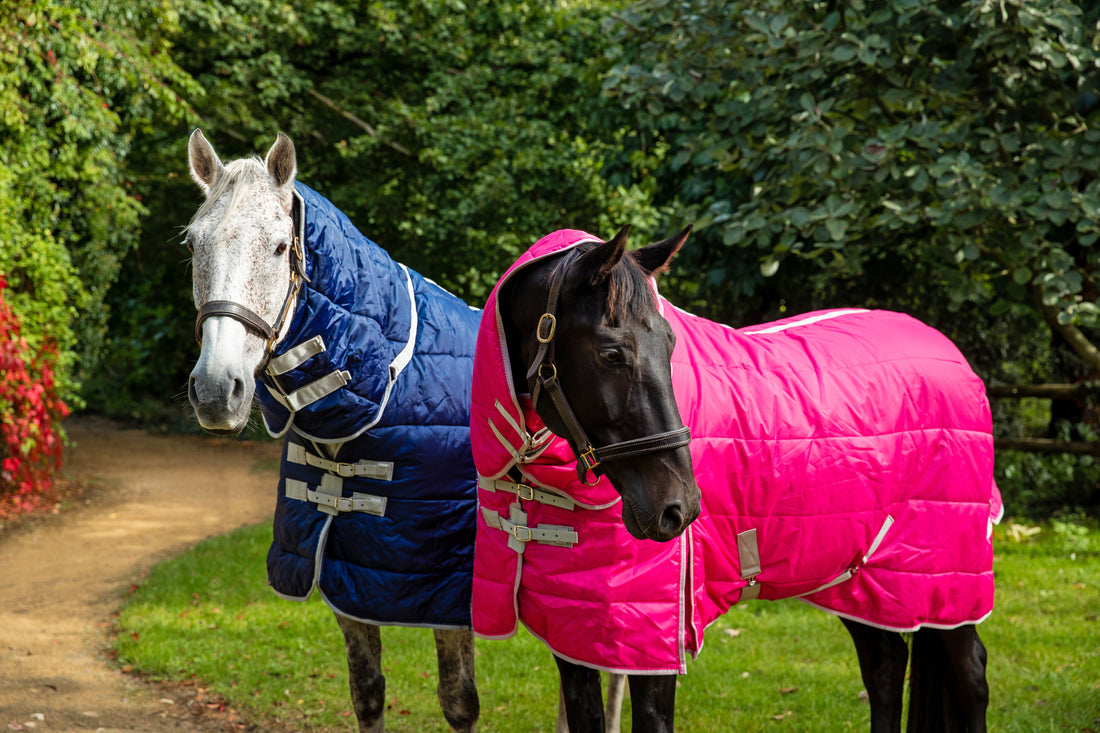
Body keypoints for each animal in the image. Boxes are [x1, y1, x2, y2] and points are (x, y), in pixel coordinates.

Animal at [469, 226, 1001, 732]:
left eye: (670, 344)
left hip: (946, 579)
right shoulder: (574, 638)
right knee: (885, 668)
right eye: (612, 353)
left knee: (971, 676)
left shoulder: (653, 642)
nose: (678, 508)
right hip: (861, 578)